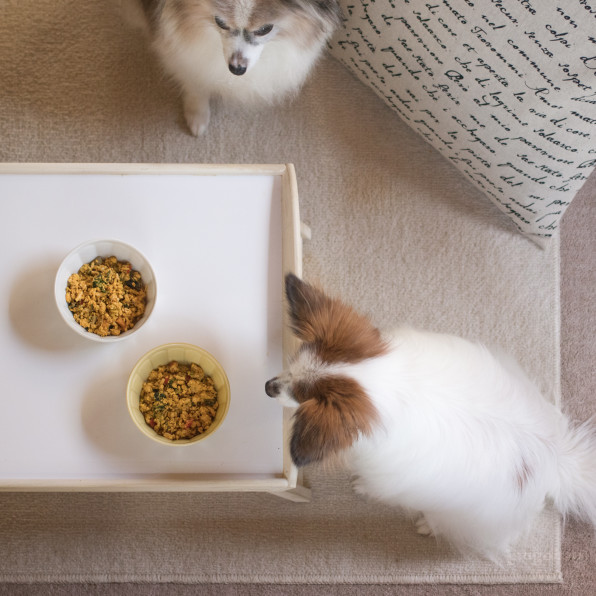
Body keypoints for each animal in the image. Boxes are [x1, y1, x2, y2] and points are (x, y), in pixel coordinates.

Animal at [266, 278, 596, 556]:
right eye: (291, 364)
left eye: (299, 397)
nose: (268, 387)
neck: (389, 386)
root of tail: (556, 464)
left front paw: (360, 486)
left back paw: (428, 525)